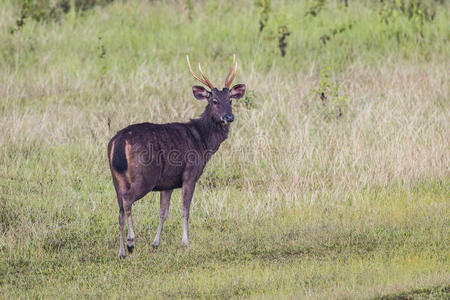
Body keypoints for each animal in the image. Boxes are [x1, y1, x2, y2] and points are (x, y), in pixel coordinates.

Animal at [107, 55, 246, 258]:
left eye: (230, 100)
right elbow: (185, 209)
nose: (229, 117)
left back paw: (121, 252)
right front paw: (186, 241)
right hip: (145, 176)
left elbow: (163, 212)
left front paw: (155, 243)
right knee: (127, 200)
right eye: (214, 101)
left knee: (120, 210)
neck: (202, 142)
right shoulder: (190, 174)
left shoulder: (168, 183)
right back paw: (131, 242)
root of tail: (118, 142)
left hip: (116, 178)